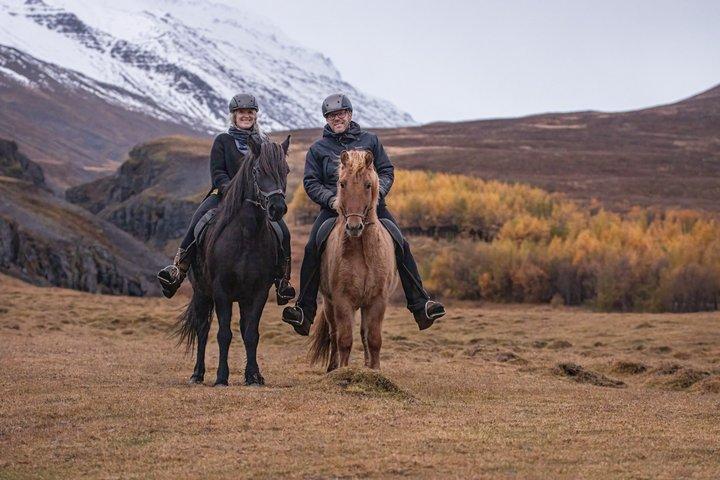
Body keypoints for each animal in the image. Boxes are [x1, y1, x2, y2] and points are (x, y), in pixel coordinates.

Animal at [174, 134, 290, 386]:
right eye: (257, 170)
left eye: (286, 170)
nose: (277, 208)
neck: (247, 234)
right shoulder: (221, 291)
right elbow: (224, 334)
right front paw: (221, 377)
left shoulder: (259, 292)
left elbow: (251, 334)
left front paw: (253, 376)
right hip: (202, 293)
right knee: (202, 330)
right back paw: (197, 374)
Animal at [309, 149, 399, 371]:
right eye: (342, 184)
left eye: (368, 185)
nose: (354, 227)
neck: (362, 251)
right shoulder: (342, 300)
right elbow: (344, 340)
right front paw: (343, 370)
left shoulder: (377, 300)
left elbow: (373, 338)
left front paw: (375, 370)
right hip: (329, 303)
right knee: (333, 334)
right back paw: (332, 367)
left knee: (363, 333)